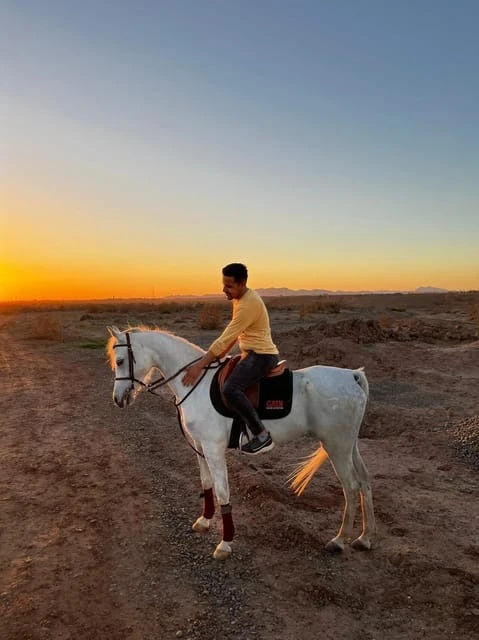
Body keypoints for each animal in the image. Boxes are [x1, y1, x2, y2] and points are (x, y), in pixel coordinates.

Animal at [107, 324, 376, 560]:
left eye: (119, 361)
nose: (118, 399)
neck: (195, 383)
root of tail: (352, 376)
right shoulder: (200, 446)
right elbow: (206, 483)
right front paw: (204, 521)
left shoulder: (213, 448)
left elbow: (222, 490)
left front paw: (225, 543)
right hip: (349, 445)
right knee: (364, 481)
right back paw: (364, 538)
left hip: (336, 445)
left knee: (351, 486)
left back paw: (339, 540)